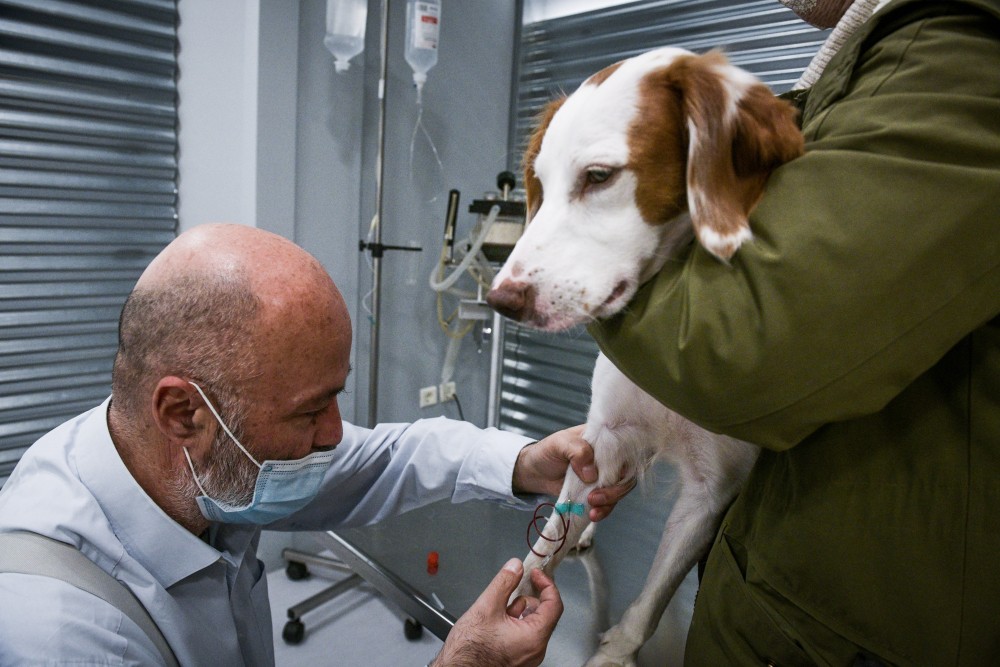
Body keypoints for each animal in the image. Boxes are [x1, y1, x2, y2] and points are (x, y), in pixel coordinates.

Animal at [486, 48, 804, 667]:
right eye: (539, 183)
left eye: (599, 177)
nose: (500, 301)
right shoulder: (605, 436)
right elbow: (545, 544)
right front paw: (510, 602)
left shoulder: (712, 488)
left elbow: (653, 597)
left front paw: (614, 652)